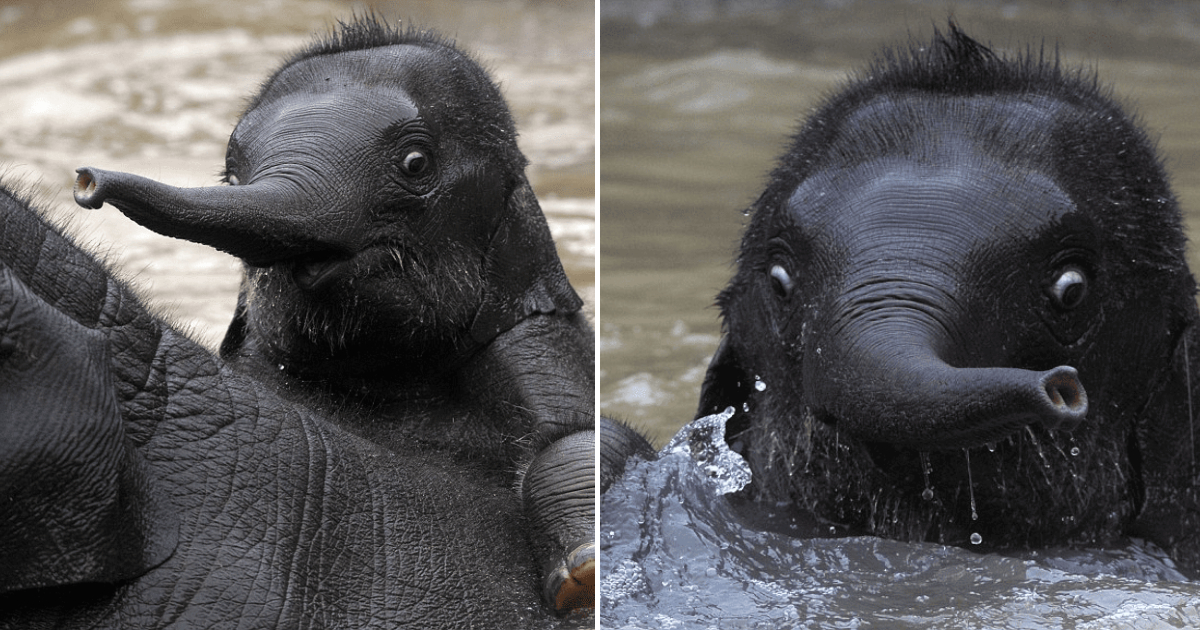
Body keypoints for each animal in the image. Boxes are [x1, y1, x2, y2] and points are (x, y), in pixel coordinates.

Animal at [75, 17, 595, 612]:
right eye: (232, 179)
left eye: (416, 163)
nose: (86, 181)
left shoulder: (532, 342)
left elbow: (569, 432)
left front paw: (582, 573)